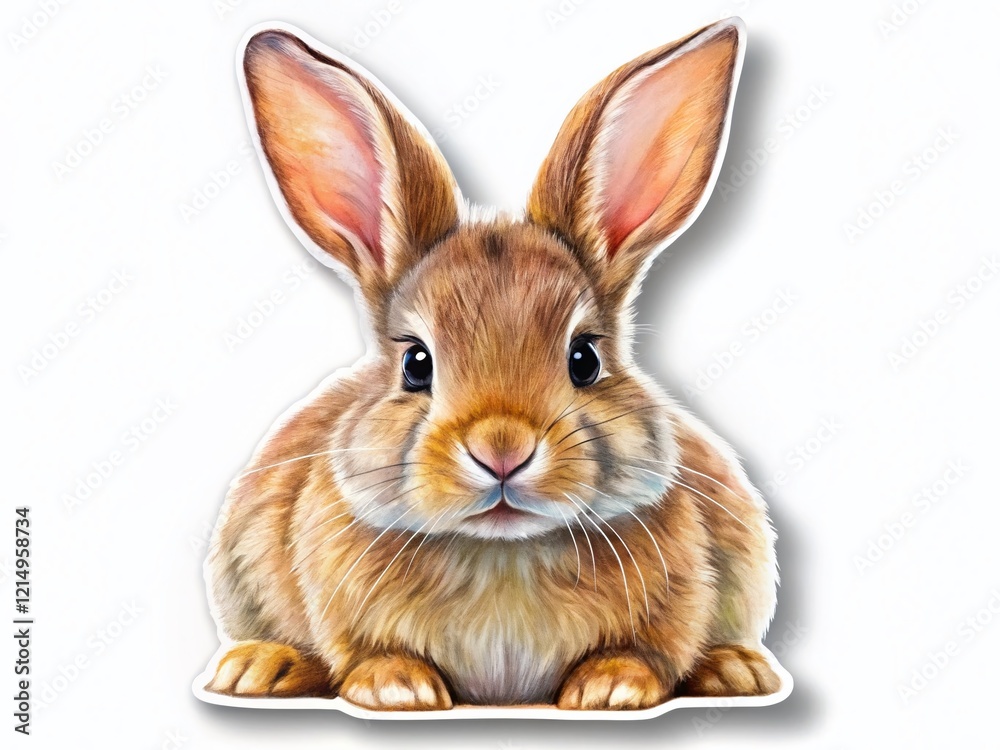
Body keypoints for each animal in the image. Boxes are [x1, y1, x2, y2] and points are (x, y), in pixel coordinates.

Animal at [203, 16, 783, 712]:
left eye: (584, 358)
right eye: (416, 363)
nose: (501, 449)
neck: (501, 554)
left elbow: (652, 649)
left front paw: (611, 686)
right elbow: (363, 651)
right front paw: (396, 687)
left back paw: (738, 670)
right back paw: (260, 666)